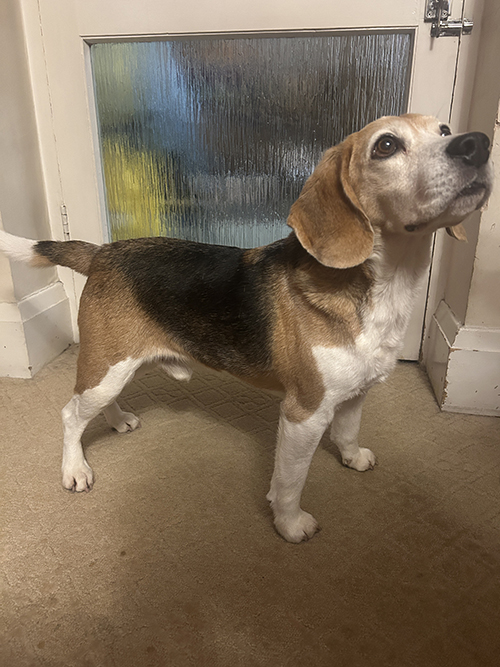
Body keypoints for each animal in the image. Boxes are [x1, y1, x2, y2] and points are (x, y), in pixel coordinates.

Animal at [0, 114, 492, 542]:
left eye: (444, 129)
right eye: (386, 146)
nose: (478, 143)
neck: (385, 285)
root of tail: (102, 251)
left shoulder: (356, 391)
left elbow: (348, 432)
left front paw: (353, 459)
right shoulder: (303, 413)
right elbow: (291, 480)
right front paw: (291, 524)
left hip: (118, 366)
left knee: (97, 403)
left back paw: (118, 420)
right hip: (107, 364)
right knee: (70, 415)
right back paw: (74, 469)